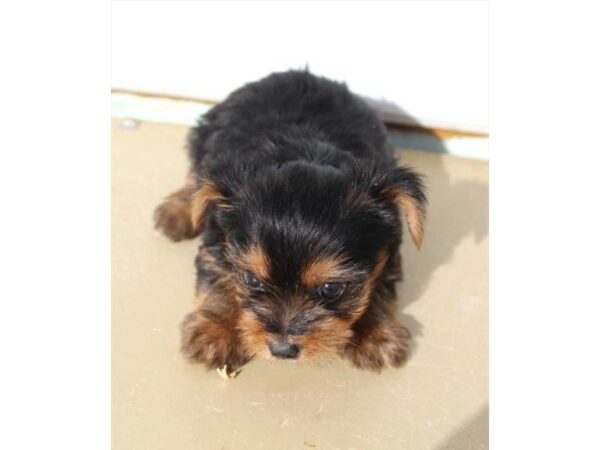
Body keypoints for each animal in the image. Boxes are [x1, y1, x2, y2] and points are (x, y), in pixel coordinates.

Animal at [155, 69, 426, 376]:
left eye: (331, 289)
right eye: (251, 279)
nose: (282, 350)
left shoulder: (387, 245)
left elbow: (381, 284)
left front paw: (376, 334)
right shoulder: (218, 235)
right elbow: (216, 276)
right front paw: (214, 330)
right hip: (207, 133)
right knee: (197, 174)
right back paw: (179, 211)